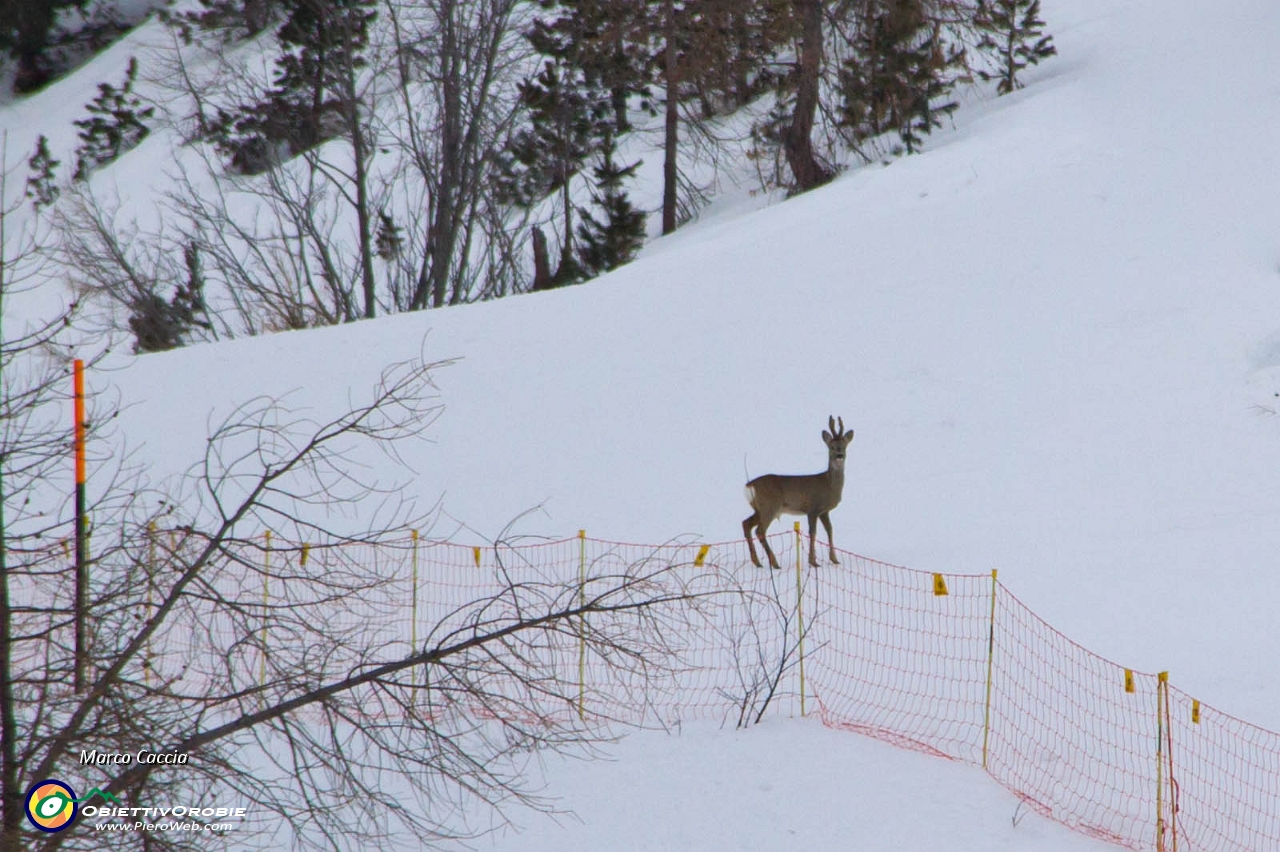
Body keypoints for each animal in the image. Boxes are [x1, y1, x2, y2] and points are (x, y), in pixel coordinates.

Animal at [742, 414, 849, 568]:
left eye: (844, 446)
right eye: (832, 447)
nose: (839, 455)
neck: (828, 485)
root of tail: (749, 485)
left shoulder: (824, 511)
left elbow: (830, 530)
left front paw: (834, 560)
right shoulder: (813, 507)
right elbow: (813, 532)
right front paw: (813, 562)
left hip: (759, 509)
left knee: (746, 524)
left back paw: (757, 562)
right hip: (770, 505)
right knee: (759, 530)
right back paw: (774, 563)